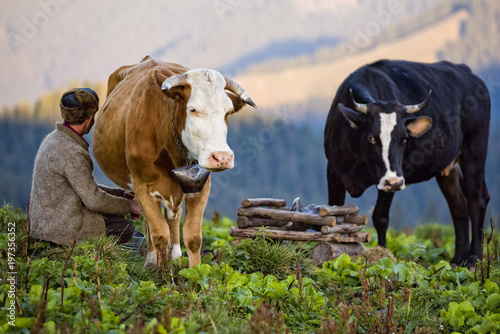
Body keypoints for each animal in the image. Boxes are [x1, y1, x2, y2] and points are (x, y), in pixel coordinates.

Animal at [94, 56, 256, 268]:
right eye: (193, 109)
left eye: (228, 112)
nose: (222, 157)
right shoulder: (142, 185)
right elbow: (160, 235)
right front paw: (162, 273)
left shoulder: (202, 186)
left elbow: (193, 237)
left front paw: (195, 272)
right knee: (152, 226)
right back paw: (151, 260)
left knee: (172, 218)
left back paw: (176, 256)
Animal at [324, 58, 492, 264]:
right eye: (372, 138)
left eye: (404, 139)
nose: (395, 182)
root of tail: (468, 72)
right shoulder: (333, 170)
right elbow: (335, 211)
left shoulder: (393, 177)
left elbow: (380, 217)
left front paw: (383, 255)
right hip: (447, 167)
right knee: (458, 205)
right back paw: (457, 260)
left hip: (475, 149)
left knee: (477, 200)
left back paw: (474, 259)